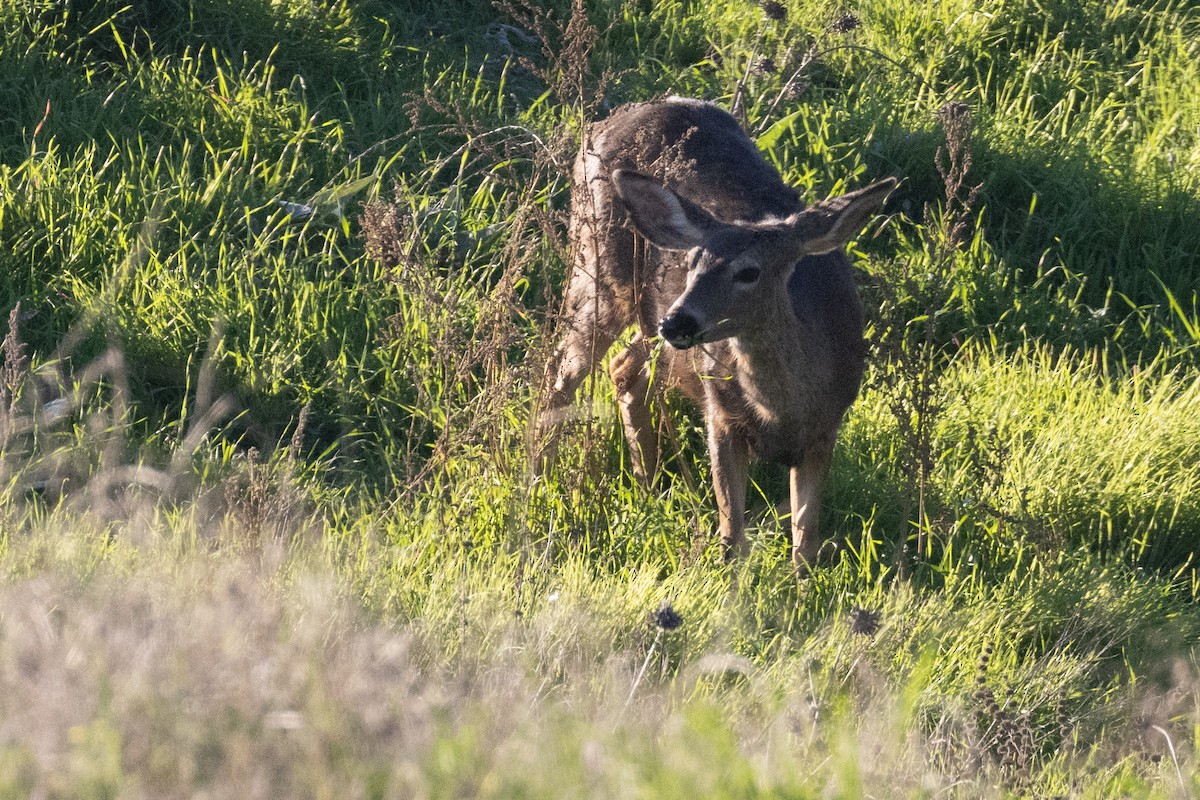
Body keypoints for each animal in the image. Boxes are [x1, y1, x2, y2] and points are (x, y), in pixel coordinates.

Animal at [539, 96, 894, 568]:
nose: (679, 321)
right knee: (561, 373)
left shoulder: (826, 427)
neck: (782, 410)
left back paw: (647, 485)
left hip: (645, 318)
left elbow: (805, 542)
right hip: (598, 269)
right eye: (692, 261)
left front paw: (803, 580)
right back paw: (538, 482)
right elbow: (732, 534)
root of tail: (603, 123)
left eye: (749, 272)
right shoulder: (720, 412)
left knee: (623, 368)